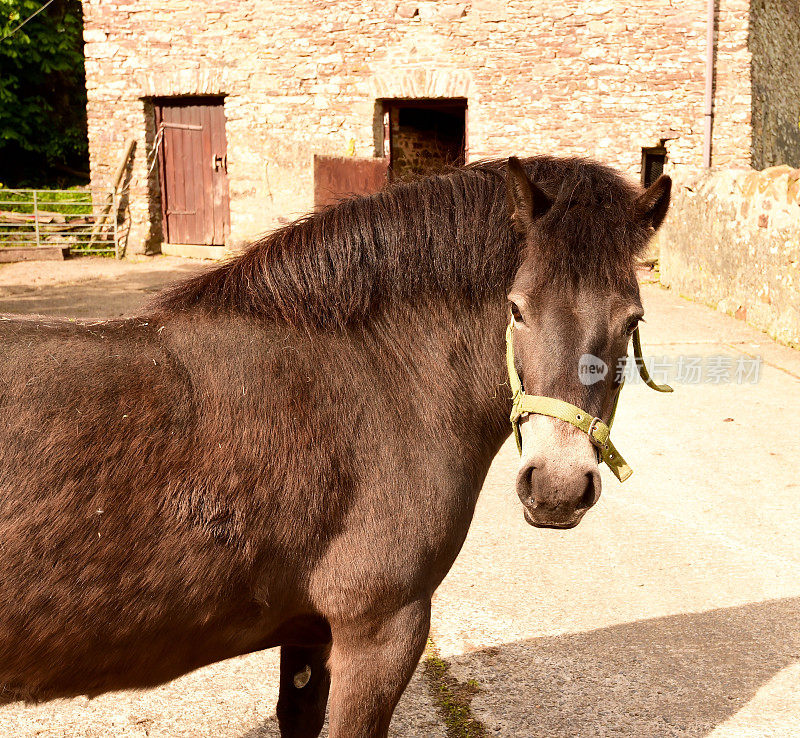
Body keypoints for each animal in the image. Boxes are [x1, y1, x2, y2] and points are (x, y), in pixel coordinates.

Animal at [0, 157, 668, 736]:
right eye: (517, 309)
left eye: (632, 320)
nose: (557, 486)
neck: (379, 379)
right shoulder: (379, 633)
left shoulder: (307, 633)